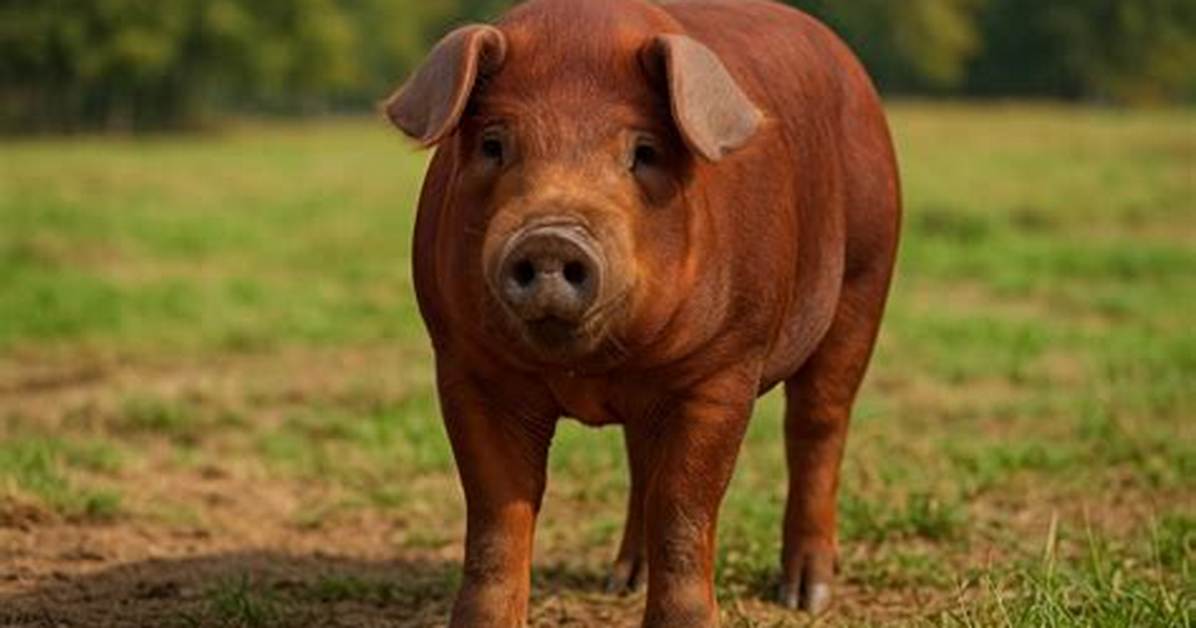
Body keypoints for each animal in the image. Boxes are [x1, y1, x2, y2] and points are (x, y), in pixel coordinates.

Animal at [385, 0, 900, 625]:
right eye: (492, 145)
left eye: (644, 152)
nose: (552, 238)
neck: (590, 369)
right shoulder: (467, 365)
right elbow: (496, 519)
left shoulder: (722, 368)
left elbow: (684, 510)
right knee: (640, 460)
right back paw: (622, 582)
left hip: (865, 275)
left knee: (818, 426)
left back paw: (807, 595)